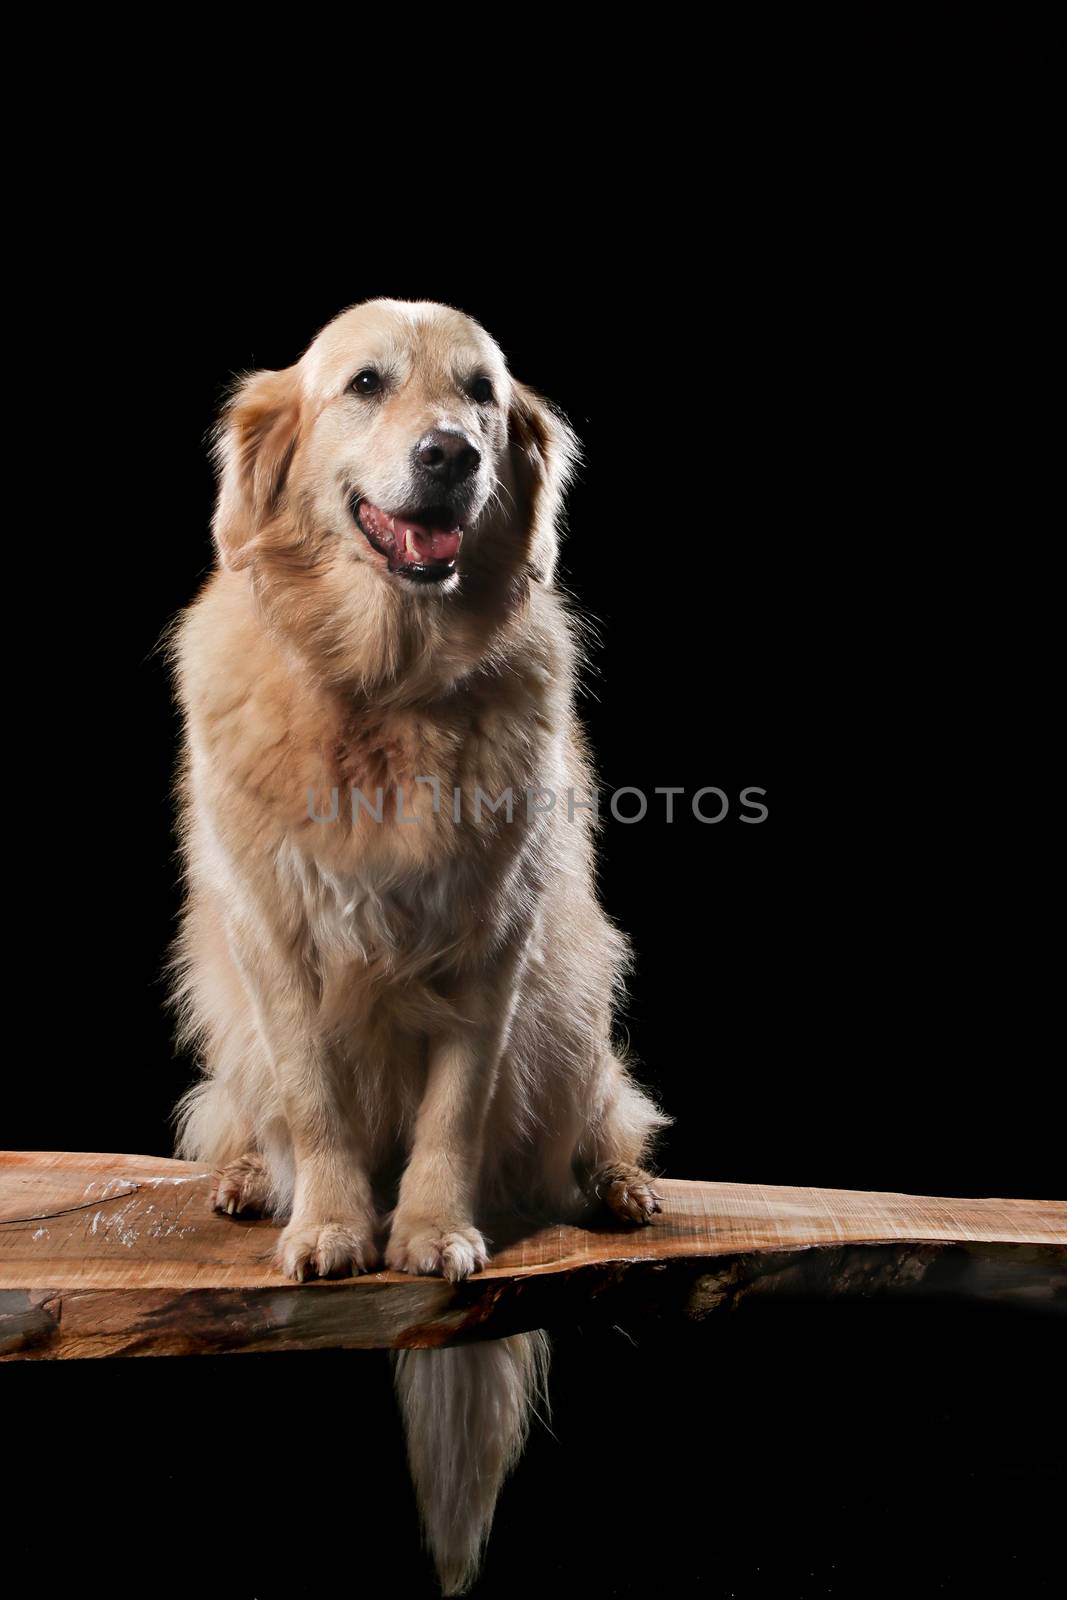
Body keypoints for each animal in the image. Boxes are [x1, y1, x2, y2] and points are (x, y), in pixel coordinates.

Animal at [167, 297, 668, 1587]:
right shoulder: (272, 937)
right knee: (243, 1109)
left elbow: (452, 1112)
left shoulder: (497, 941)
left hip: (576, 988)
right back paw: (250, 1175)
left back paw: (614, 1181)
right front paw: (333, 1224)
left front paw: (432, 1228)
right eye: (365, 384)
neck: (381, 684)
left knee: (596, 1114)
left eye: (482, 393)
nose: (453, 454)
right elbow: (314, 1098)